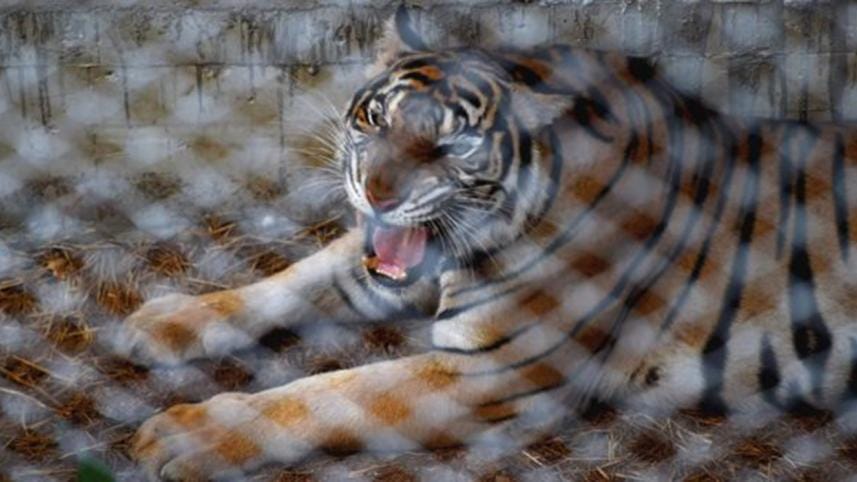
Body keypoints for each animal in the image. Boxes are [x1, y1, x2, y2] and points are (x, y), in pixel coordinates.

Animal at [123, 7, 857, 480]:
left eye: (452, 146)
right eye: (375, 118)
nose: (376, 194)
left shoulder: (495, 367)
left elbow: (332, 393)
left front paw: (187, 434)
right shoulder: (379, 269)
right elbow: (286, 282)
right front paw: (163, 321)